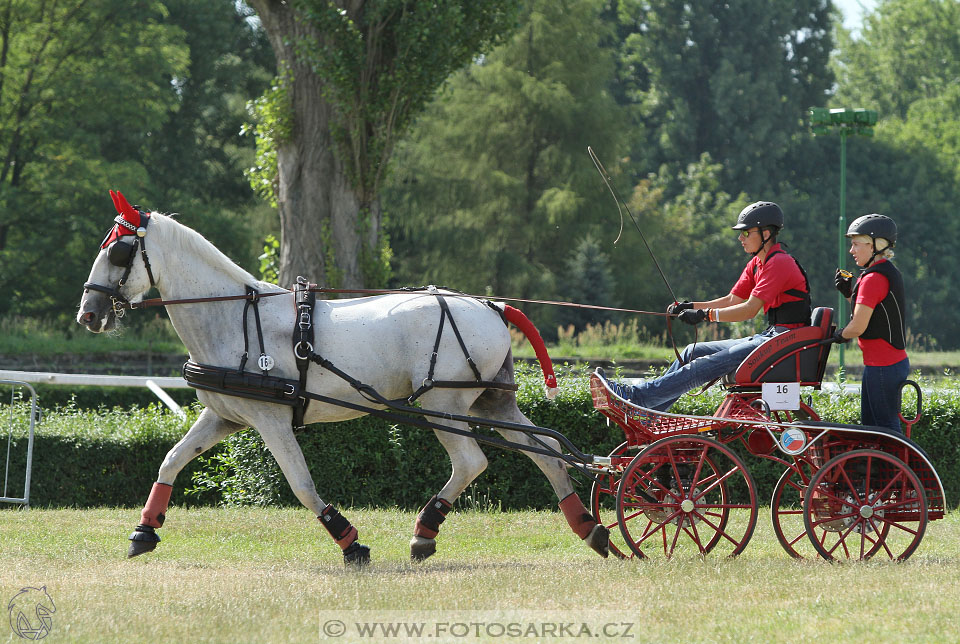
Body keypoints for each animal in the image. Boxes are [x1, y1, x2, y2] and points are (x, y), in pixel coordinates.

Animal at [80, 192, 608, 564]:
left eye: (120, 251)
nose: (89, 313)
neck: (232, 318)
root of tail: (492, 306)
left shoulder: (271, 420)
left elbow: (302, 485)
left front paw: (350, 542)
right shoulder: (224, 416)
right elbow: (170, 461)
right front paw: (144, 530)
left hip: (443, 405)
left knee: (472, 461)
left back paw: (425, 531)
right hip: (491, 403)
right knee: (548, 450)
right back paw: (590, 527)